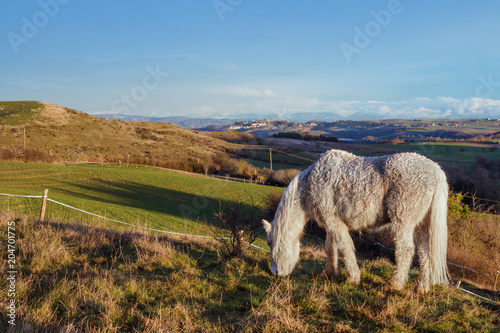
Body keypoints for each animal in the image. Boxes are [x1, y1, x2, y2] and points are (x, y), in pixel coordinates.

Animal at [262, 149, 450, 292]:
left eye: (269, 242)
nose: (275, 273)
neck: (309, 185)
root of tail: (435, 169)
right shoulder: (330, 223)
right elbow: (330, 247)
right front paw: (329, 273)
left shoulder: (334, 222)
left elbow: (344, 247)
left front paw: (353, 278)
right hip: (422, 225)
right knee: (425, 252)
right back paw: (422, 288)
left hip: (403, 222)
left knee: (406, 250)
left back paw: (395, 284)